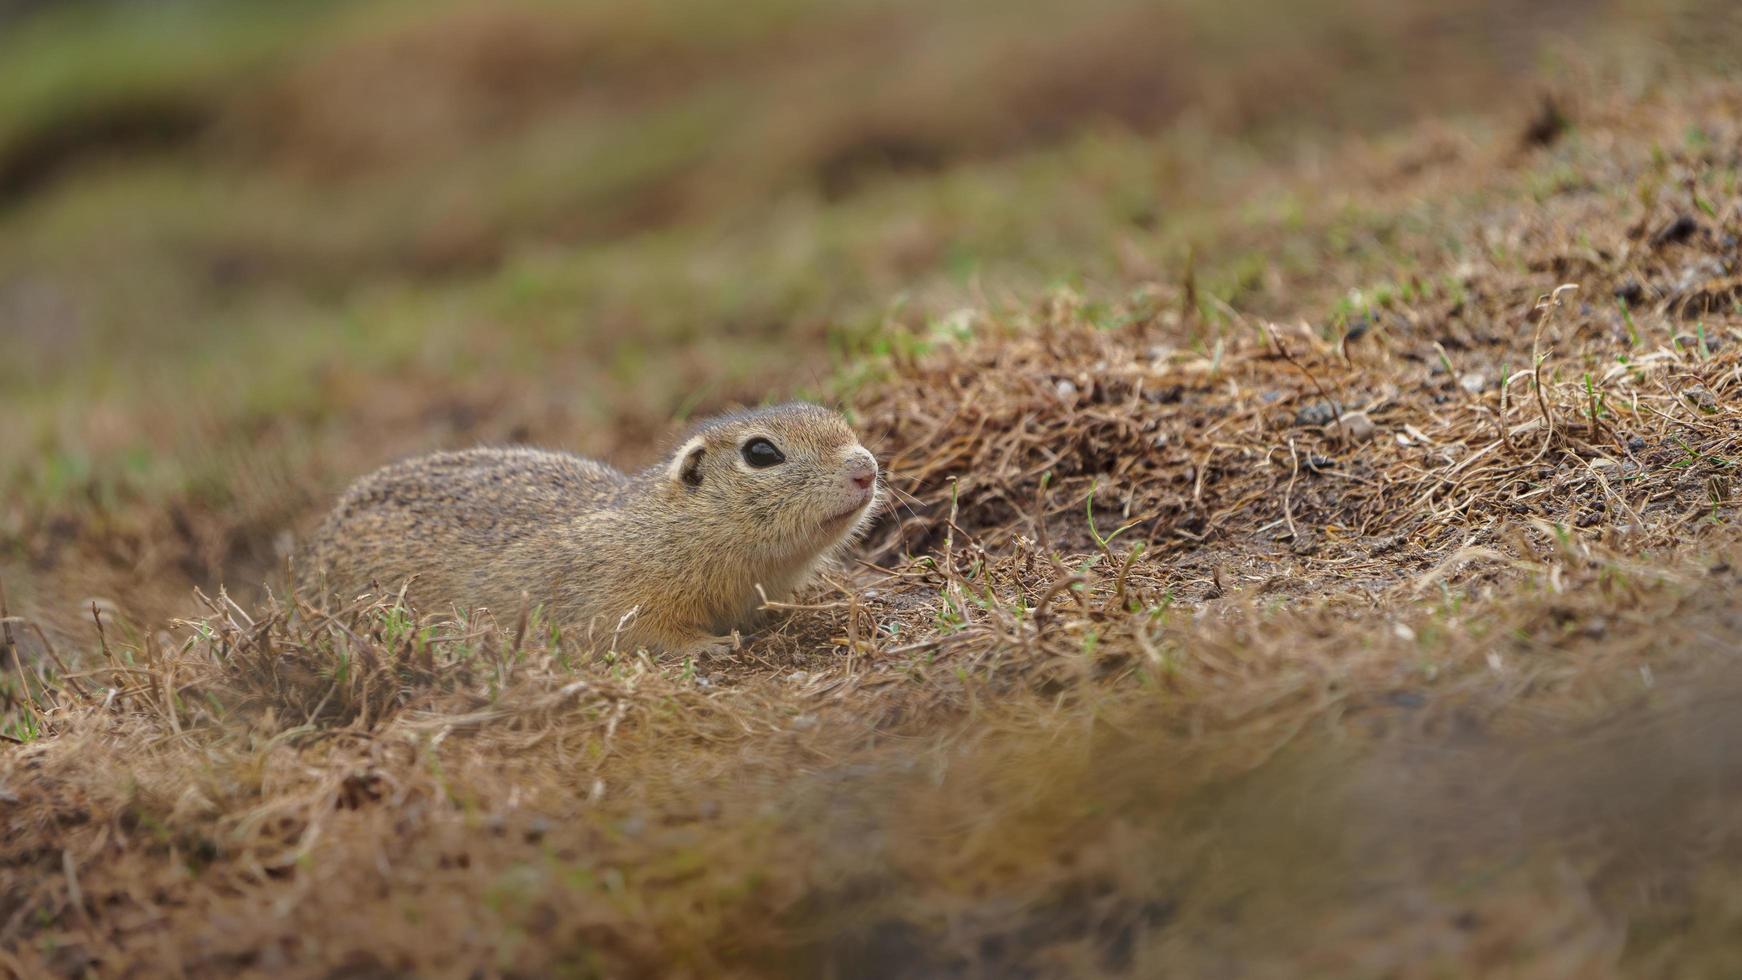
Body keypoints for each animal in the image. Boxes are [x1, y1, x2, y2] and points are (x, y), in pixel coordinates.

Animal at [303, 402, 884, 654]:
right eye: (761, 453)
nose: (867, 468)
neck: (672, 526)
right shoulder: (623, 598)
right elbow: (648, 633)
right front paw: (710, 646)